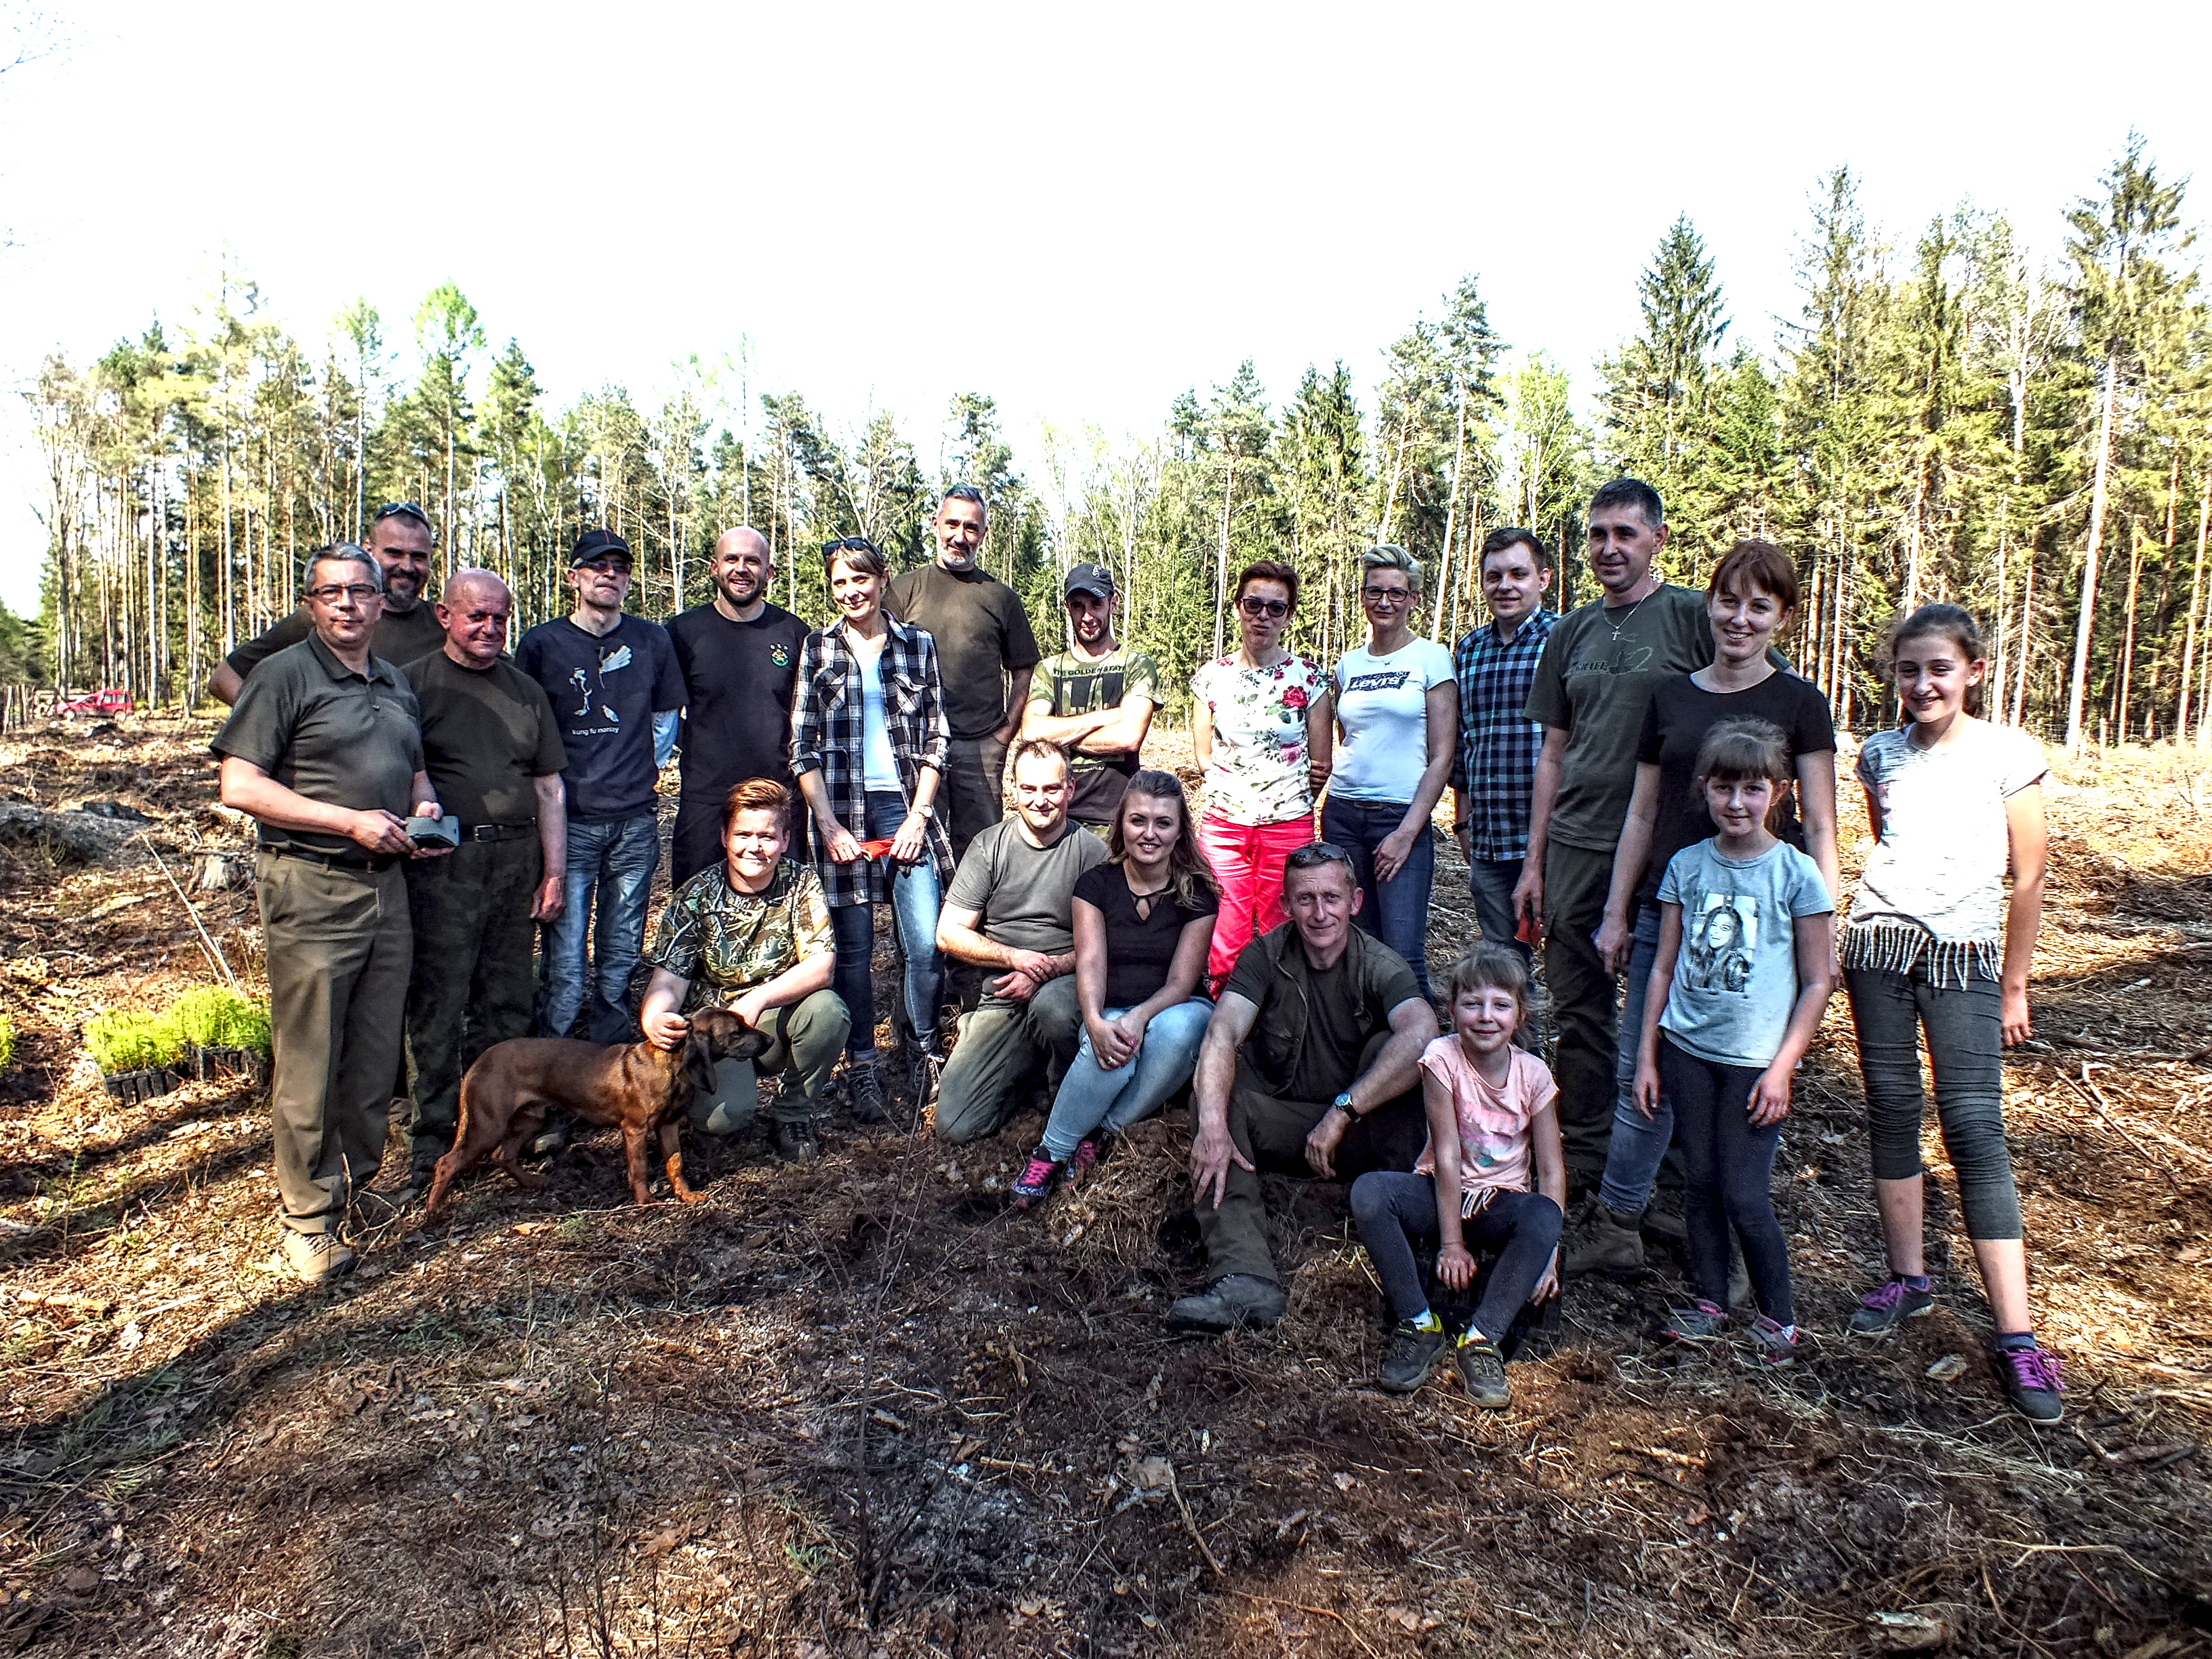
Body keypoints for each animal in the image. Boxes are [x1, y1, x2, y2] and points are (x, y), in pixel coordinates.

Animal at [422, 1008, 769, 1212]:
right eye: (736, 1032)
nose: (767, 1039)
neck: (672, 1066)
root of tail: (478, 1062)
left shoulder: (668, 1126)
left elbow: (676, 1165)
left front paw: (687, 1196)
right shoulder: (635, 1130)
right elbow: (640, 1169)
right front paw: (646, 1202)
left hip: (530, 1119)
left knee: (502, 1155)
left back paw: (534, 1183)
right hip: (488, 1124)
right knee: (447, 1162)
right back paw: (432, 1212)